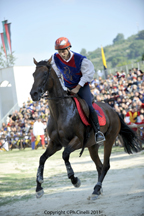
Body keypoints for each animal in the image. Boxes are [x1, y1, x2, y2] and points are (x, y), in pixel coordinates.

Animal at [29, 57, 141, 201]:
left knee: (105, 165)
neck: (60, 112)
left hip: (109, 140)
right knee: (99, 166)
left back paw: (96, 190)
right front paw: (39, 188)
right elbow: (42, 159)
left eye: (44, 74)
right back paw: (97, 190)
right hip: (92, 146)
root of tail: (114, 111)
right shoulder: (55, 144)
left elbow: (65, 155)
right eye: (33, 74)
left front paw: (75, 180)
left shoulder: (78, 140)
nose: (33, 94)